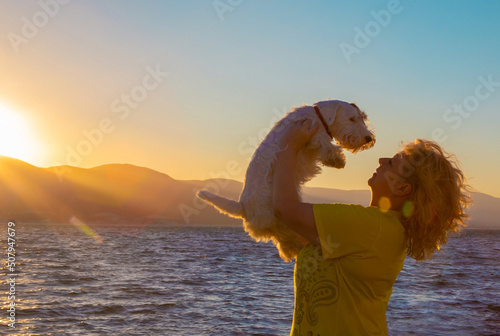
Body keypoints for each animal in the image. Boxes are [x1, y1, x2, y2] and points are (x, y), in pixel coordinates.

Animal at [197, 100, 374, 262]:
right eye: (351, 119)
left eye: (362, 118)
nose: (369, 138)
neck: (317, 115)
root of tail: (243, 206)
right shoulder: (312, 132)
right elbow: (324, 142)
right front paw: (337, 160)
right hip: (280, 220)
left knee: (284, 243)